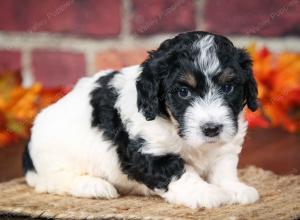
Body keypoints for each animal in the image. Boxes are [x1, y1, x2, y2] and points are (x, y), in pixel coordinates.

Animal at [23, 31, 258, 208]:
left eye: (228, 87)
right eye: (183, 92)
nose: (211, 129)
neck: (173, 124)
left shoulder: (226, 144)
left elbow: (223, 168)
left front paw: (234, 188)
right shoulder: (149, 150)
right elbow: (178, 172)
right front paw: (205, 193)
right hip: (56, 158)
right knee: (54, 180)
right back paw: (93, 186)